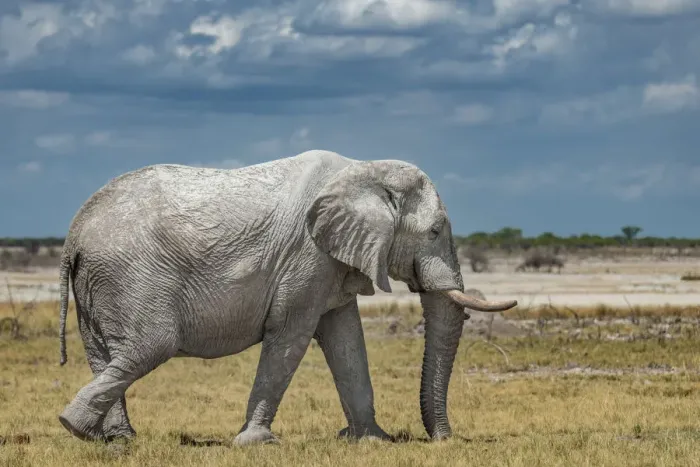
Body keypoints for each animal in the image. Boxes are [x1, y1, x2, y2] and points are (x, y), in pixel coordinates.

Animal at [56, 149, 517, 445]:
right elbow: (291, 335)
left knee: (106, 355)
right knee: (150, 346)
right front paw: (258, 443)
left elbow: (346, 341)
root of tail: (74, 234)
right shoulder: (307, 256)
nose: (444, 440)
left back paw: (115, 440)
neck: (363, 170)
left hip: (101, 282)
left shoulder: (330, 262)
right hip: (131, 277)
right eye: (435, 231)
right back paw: (73, 427)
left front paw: (371, 441)